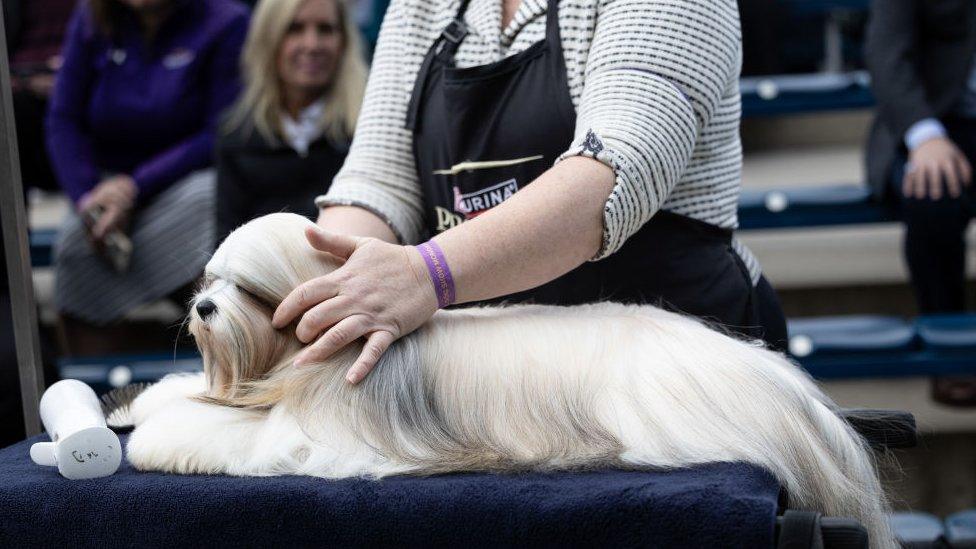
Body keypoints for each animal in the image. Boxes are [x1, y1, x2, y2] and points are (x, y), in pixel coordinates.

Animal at [127, 212, 900, 544]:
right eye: (210, 280)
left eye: (252, 291)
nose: (202, 307)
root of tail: (786, 390)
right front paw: (147, 401)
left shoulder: (315, 432)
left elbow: (233, 436)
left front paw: (153, 435)